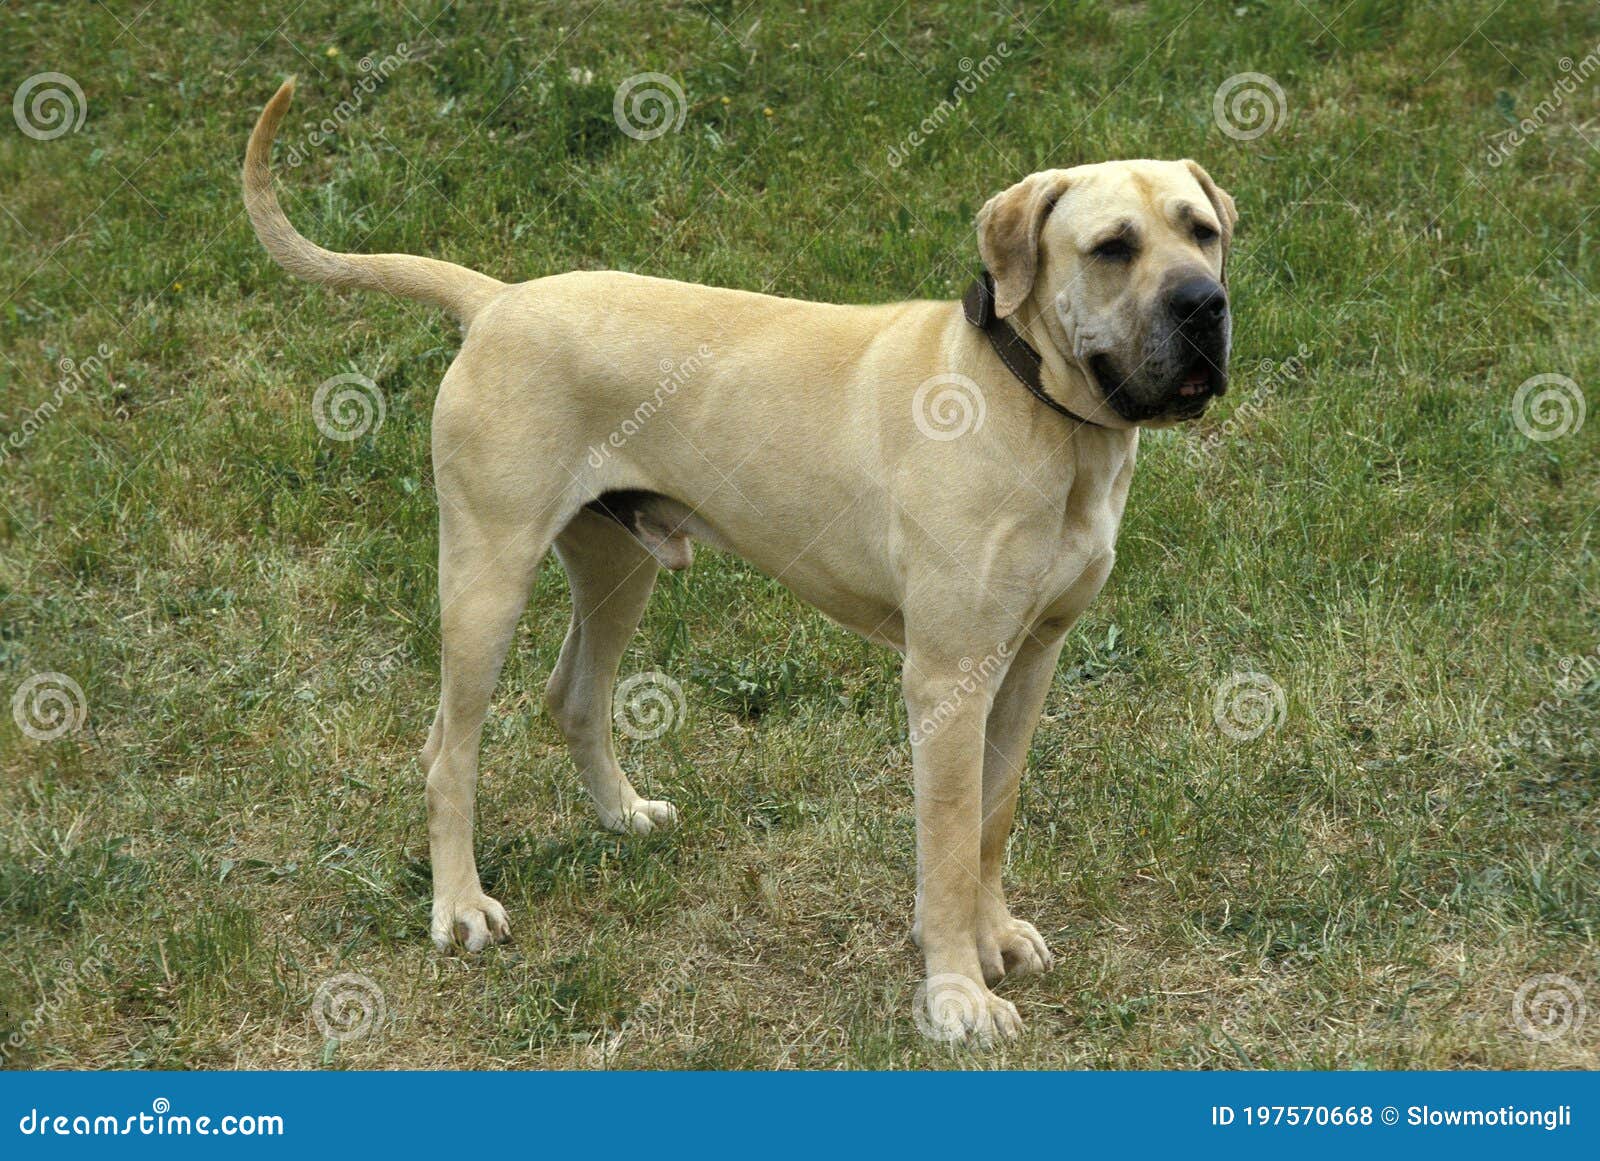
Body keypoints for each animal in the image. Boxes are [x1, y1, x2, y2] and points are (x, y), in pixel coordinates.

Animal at [240, 79, 1235, 1049]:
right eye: (1112, 247)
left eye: (1203, 231)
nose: (1203, 305)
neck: (1033, 404)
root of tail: (498, 299)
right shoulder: (947, 675)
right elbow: (949, 845)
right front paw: (955, 992)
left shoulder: (1030, 660)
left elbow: (992, 821)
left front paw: (991, 939)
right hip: (487, 576)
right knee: (449, 749)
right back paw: (459, 905)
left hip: (617, 565)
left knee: (574, 695)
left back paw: (622, 812)